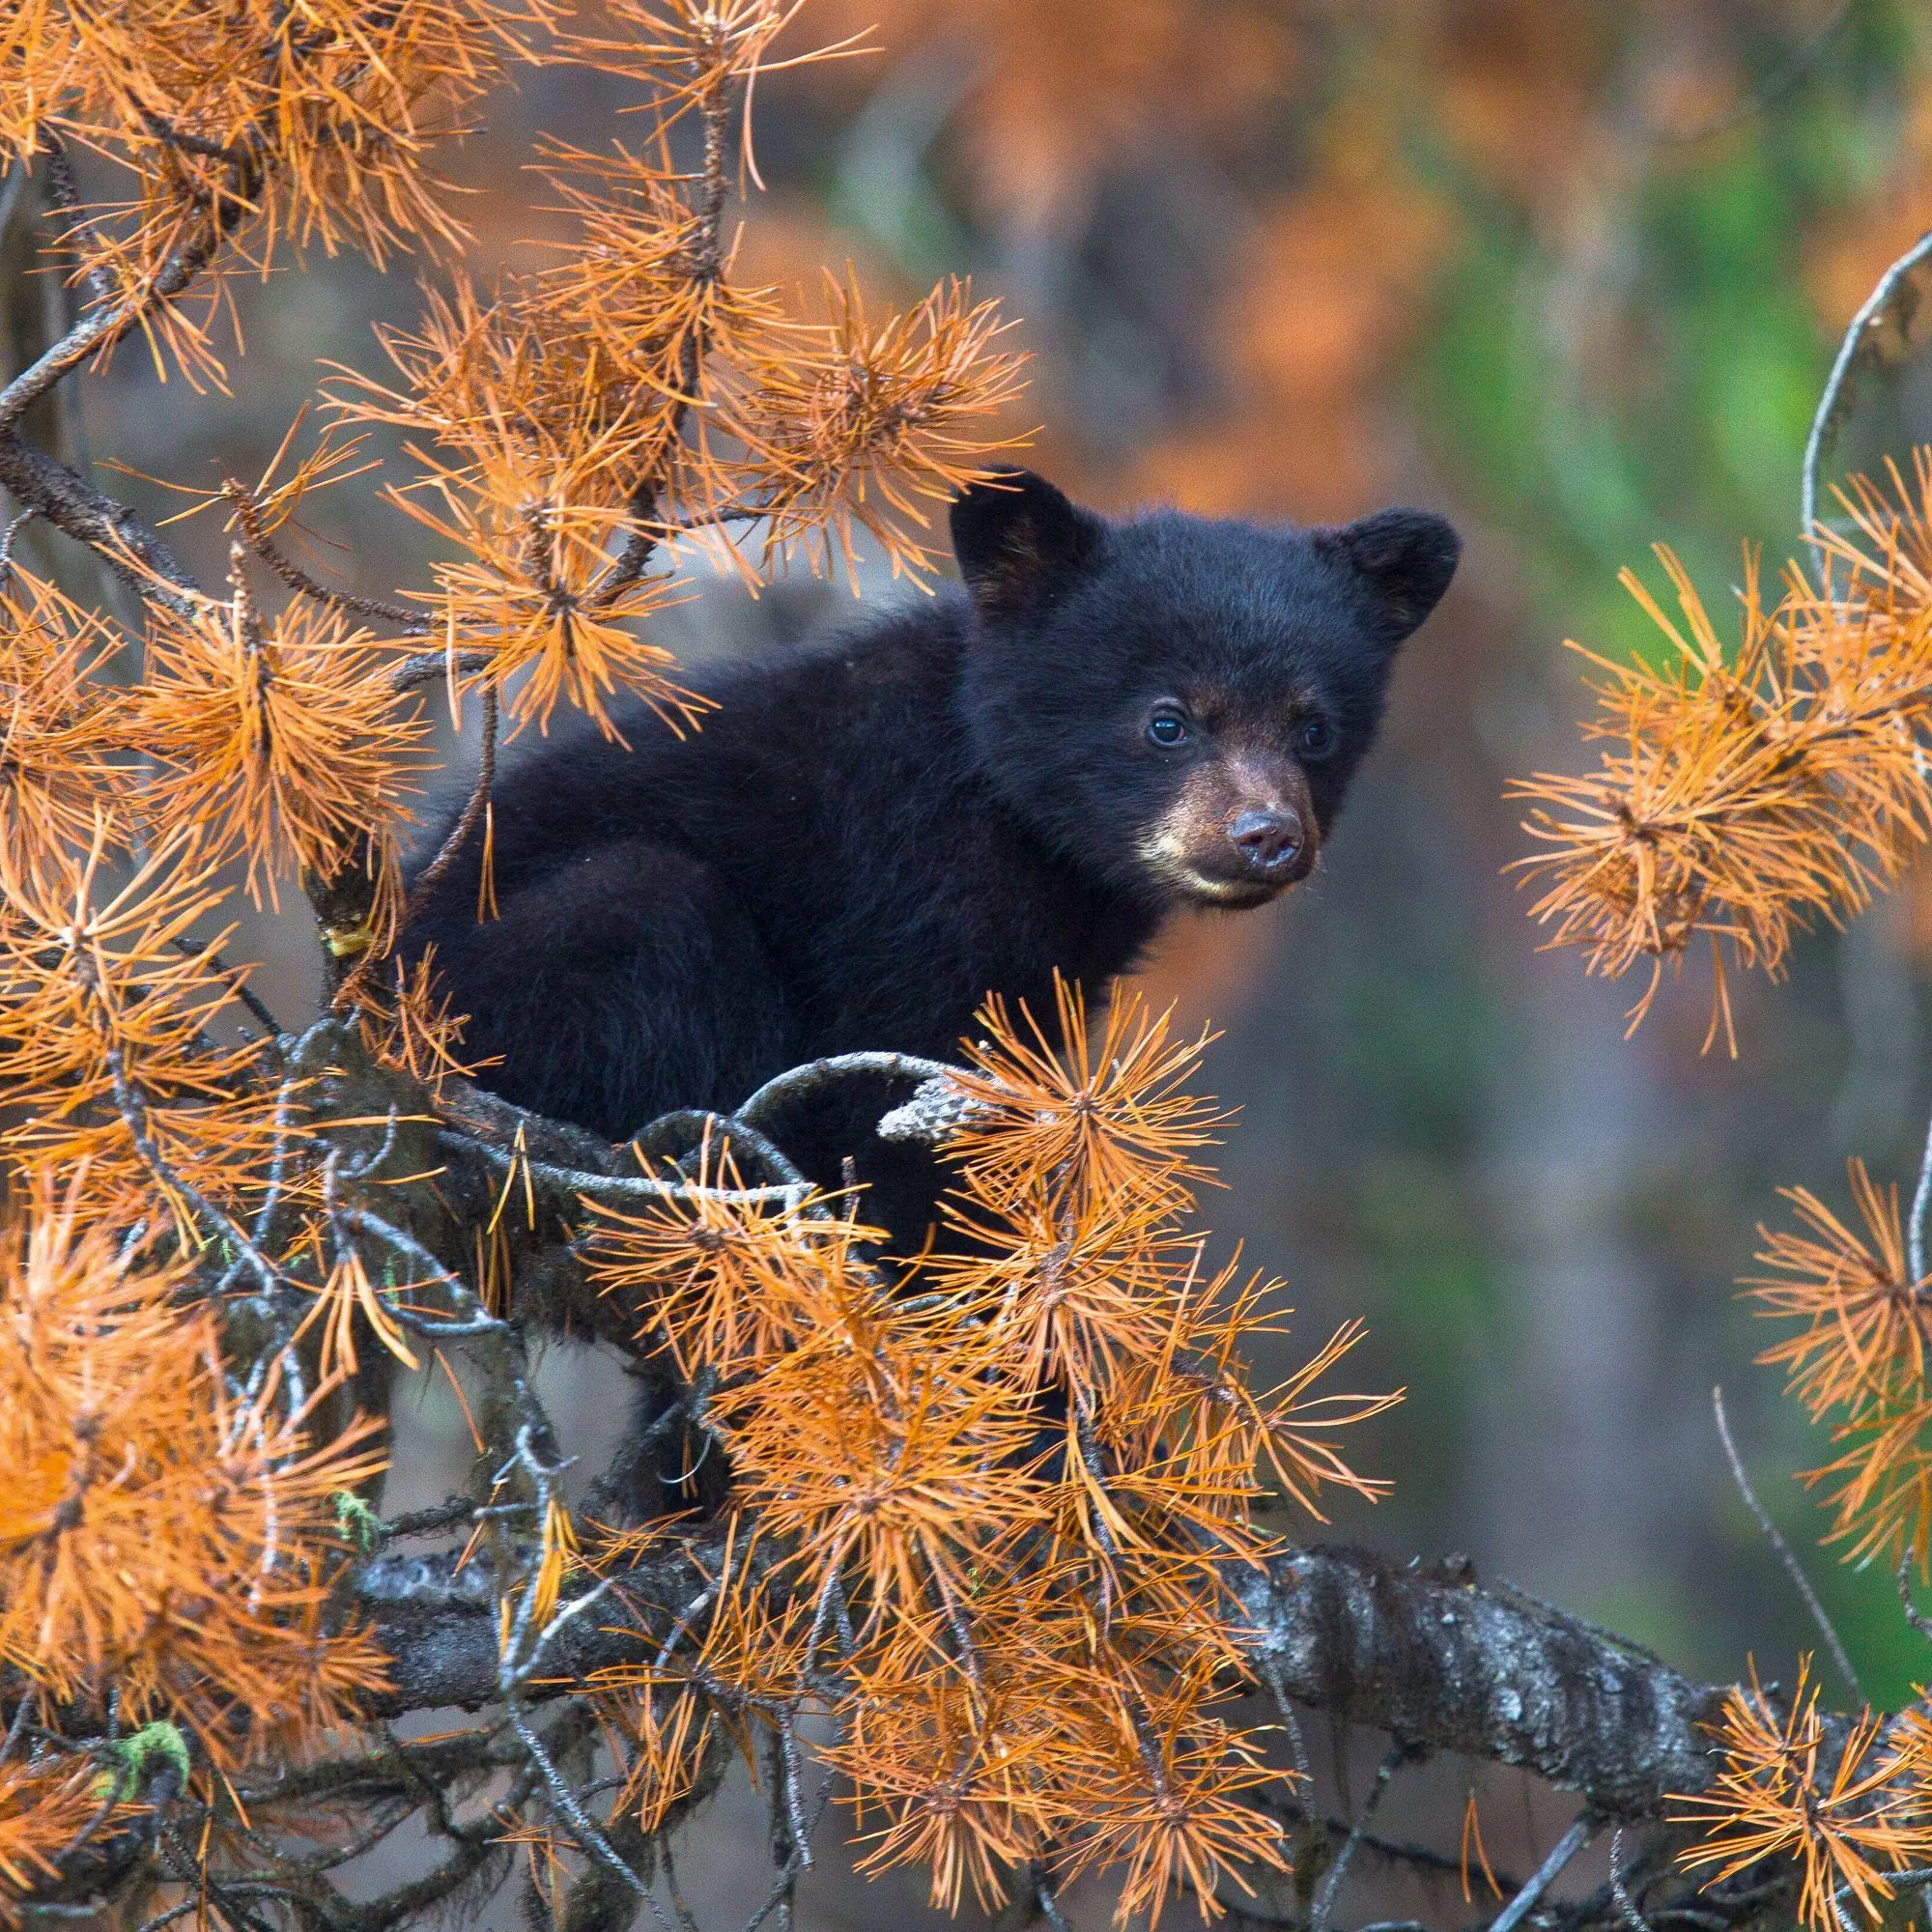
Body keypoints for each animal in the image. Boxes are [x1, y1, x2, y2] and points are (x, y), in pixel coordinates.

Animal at [402, 469, 1460, 1238]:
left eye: (1314, 729)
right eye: (1167, 720)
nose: (1266, 836)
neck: (1007, 811)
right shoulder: (897, 886)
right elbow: (876, 1093)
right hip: (522, 972)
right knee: (650, 908)